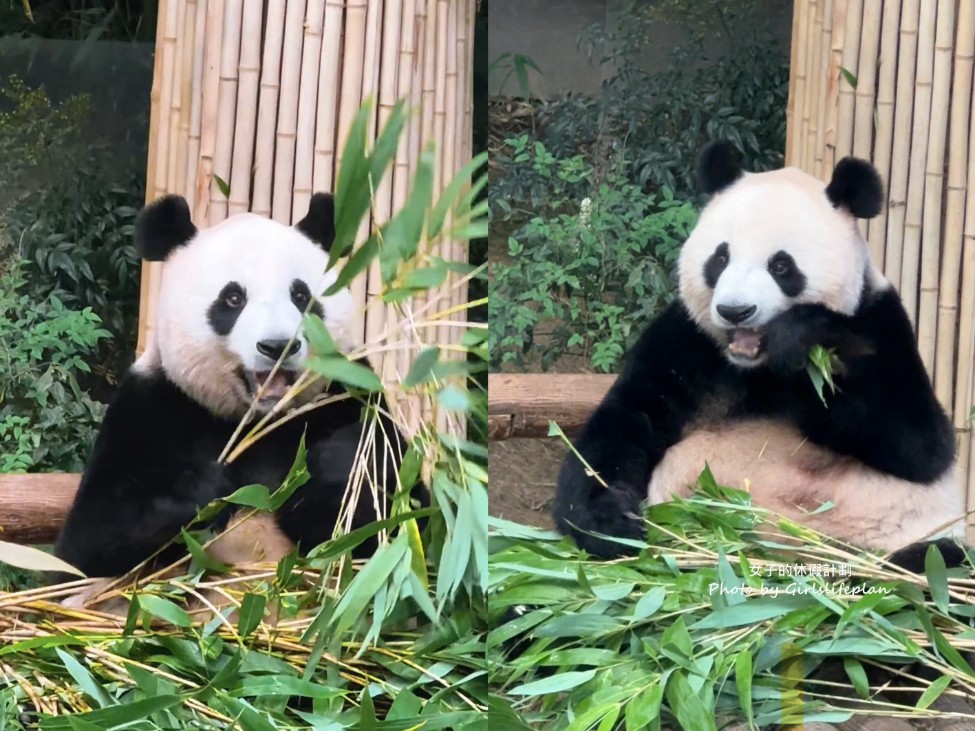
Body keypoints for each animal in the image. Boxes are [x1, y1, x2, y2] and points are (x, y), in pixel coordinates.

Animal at [53, 194, 420, 588]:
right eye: (232, 299)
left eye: (301, 295)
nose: (277, 346)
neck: (258, 419)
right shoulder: (151, 407)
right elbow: (85, 548)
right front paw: (205, 484)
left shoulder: (352, 395)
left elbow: (400, 526)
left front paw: (338, 461)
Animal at [556, 140, 968, 568]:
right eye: (720, 258)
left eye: (781, 266)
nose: (734, 311)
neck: (756, 368)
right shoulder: (687, 344)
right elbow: (626, 422)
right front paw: (611, 521)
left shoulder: (879, 320)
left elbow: (921, 445)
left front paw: (803, 338)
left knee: (937, 560)